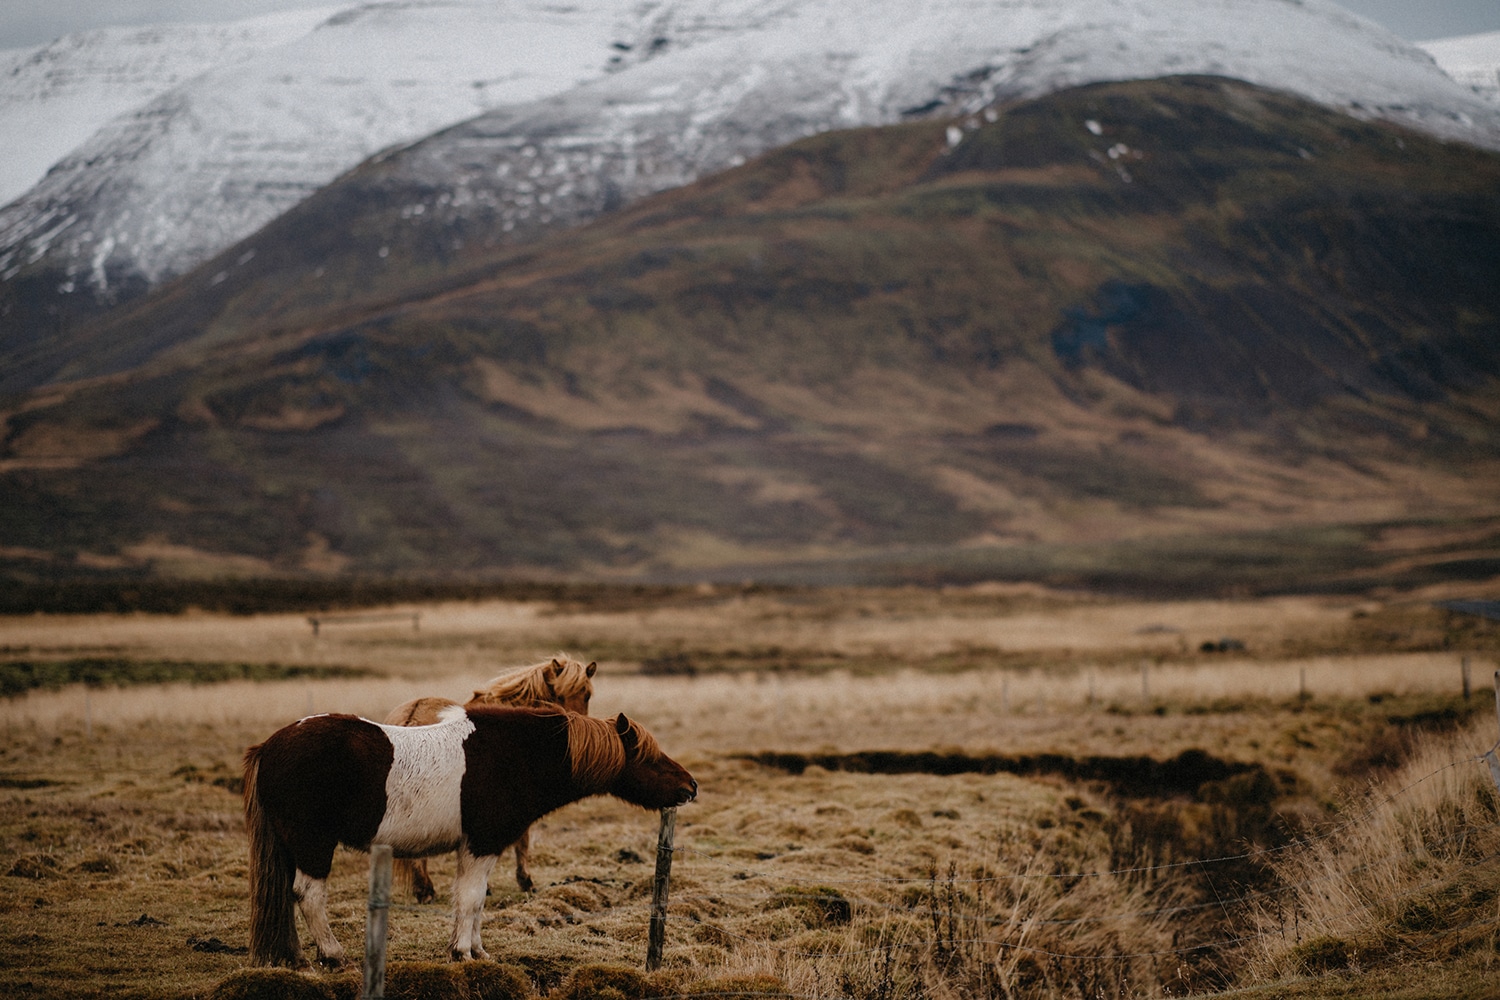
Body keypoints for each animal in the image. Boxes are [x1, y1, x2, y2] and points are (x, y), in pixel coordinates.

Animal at [243, 704, 693, 971]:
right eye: (651, 758)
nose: (691, 787)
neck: (516, 756)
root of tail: (270, 746)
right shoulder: (481, 845)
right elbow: (471, 899)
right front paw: (462, 953)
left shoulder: (481, 849)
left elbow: (473, 904)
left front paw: (476, 951)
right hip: (313, 844)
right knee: (309, 896)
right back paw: (333, 956)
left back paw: (295, 957)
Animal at [378, 656, 594, 899]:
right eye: (560, 694)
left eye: (586, 694)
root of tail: (412, 717)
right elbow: (522, 841)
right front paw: (524, 881)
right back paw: (425, 889)